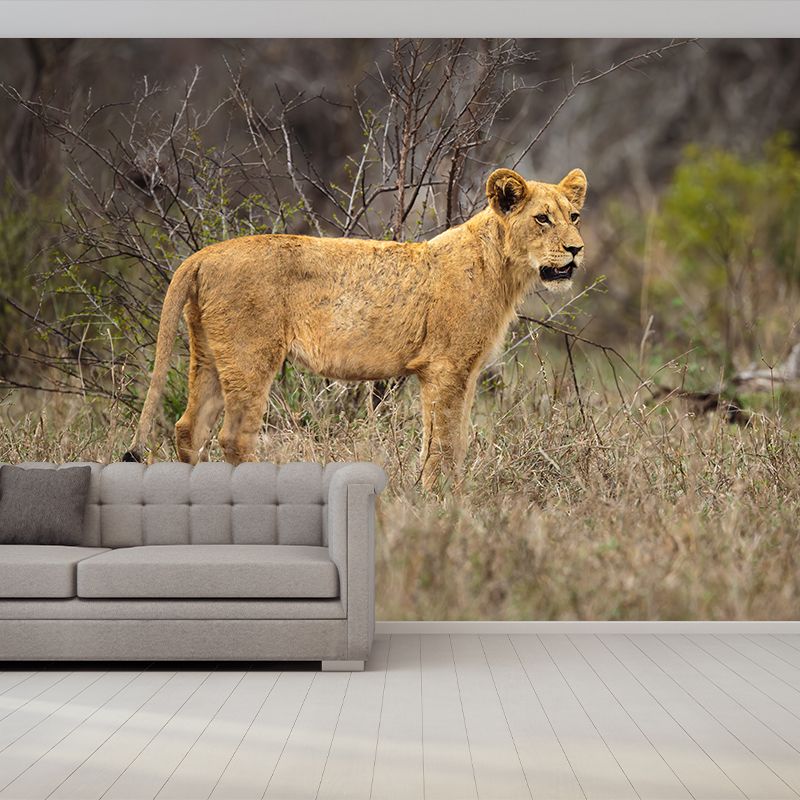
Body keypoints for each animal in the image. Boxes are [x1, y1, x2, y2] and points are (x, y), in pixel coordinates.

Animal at [124, 167, 587, 489]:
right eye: (542, 219)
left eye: (574, 215)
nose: (576, 249)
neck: (504, 269)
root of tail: (203, 254)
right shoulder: (445, 368)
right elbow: (443, 443)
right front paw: (440, 501)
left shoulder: (465, 372)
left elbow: (454, 440)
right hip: (250, 356)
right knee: (234, 437)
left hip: (209, 356)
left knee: (189, 427)